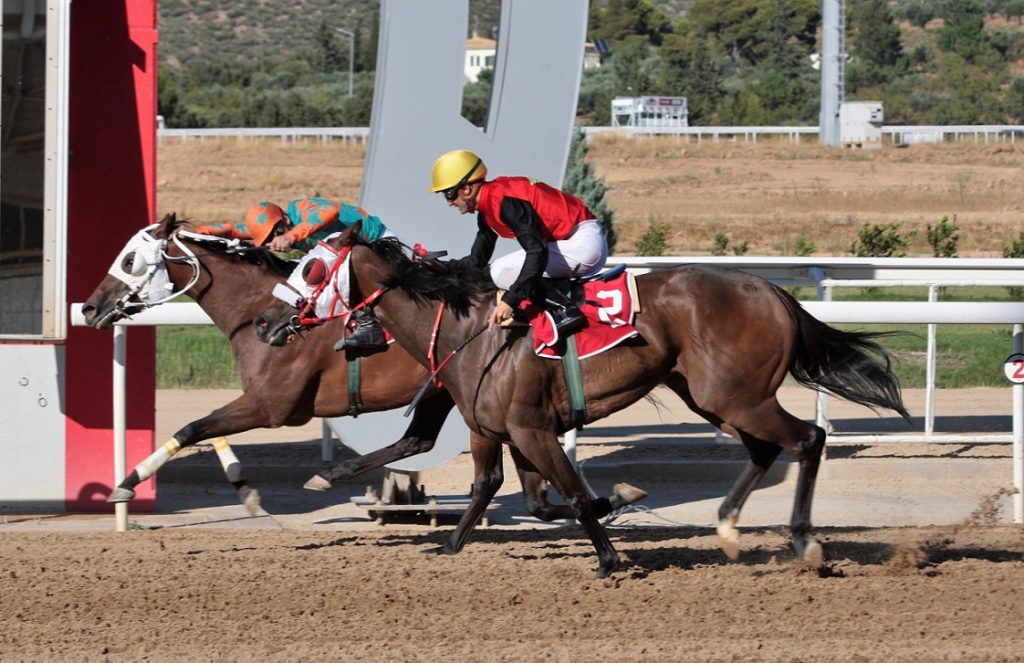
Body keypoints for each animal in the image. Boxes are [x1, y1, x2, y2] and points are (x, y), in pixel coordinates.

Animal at [81, 215, 638, 520]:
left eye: (130, 260)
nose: (88, 308)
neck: (257, 310)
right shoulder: (262, 402)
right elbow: (201, 427)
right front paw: (245, 488)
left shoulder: (271, 406)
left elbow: (193, 426)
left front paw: (127, 484)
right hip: (446, 389)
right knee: (422, 441)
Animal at [260, 225, 909, 577]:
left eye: (312, 267)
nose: (267, 320)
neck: (470, 330)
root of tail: (772, 291)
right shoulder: (501, 430)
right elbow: (510, 493)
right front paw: (448, 545)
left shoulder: (531, 428)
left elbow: (567, 495)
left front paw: (610, 555)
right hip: (714, 396)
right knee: (765, 450)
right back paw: (726, 529)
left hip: (735, 394)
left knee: (808, 438)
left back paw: (804, 541)